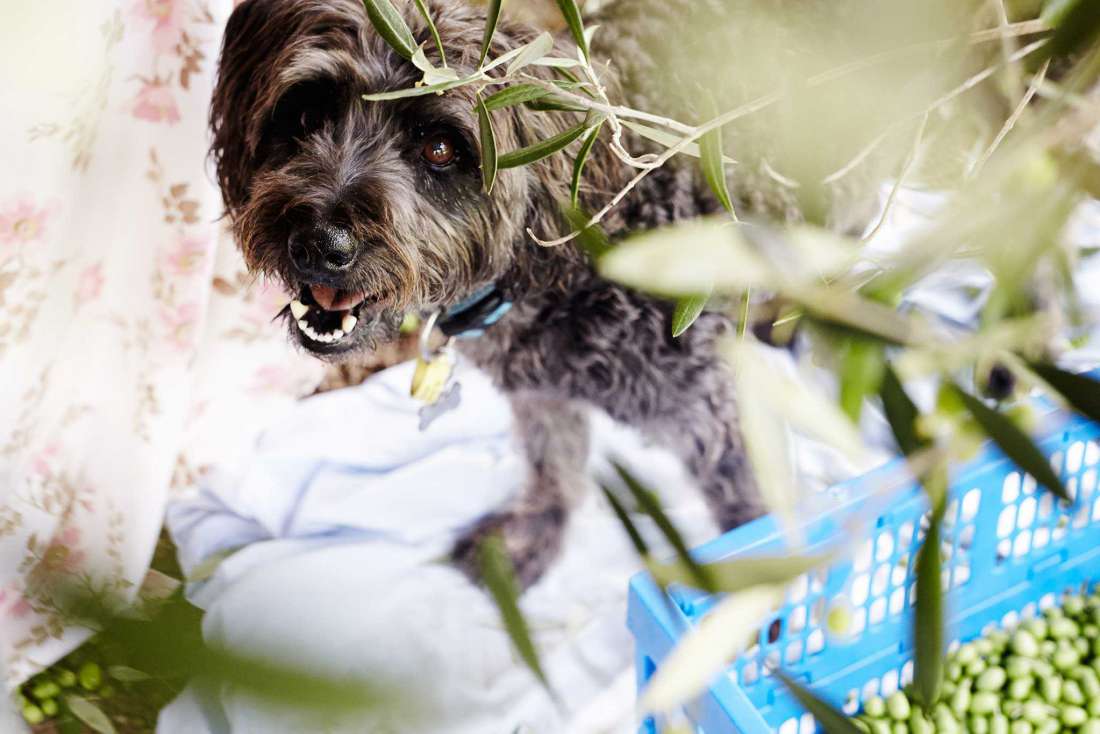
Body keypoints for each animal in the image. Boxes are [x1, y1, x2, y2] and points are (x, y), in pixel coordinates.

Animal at [210, 0, 906, 585]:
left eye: (441, 148)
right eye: (305, 113)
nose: (319, 242)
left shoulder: (709, 417)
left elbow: (748, 509)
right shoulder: (543, 395)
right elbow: (556, 466)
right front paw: (532, 538)